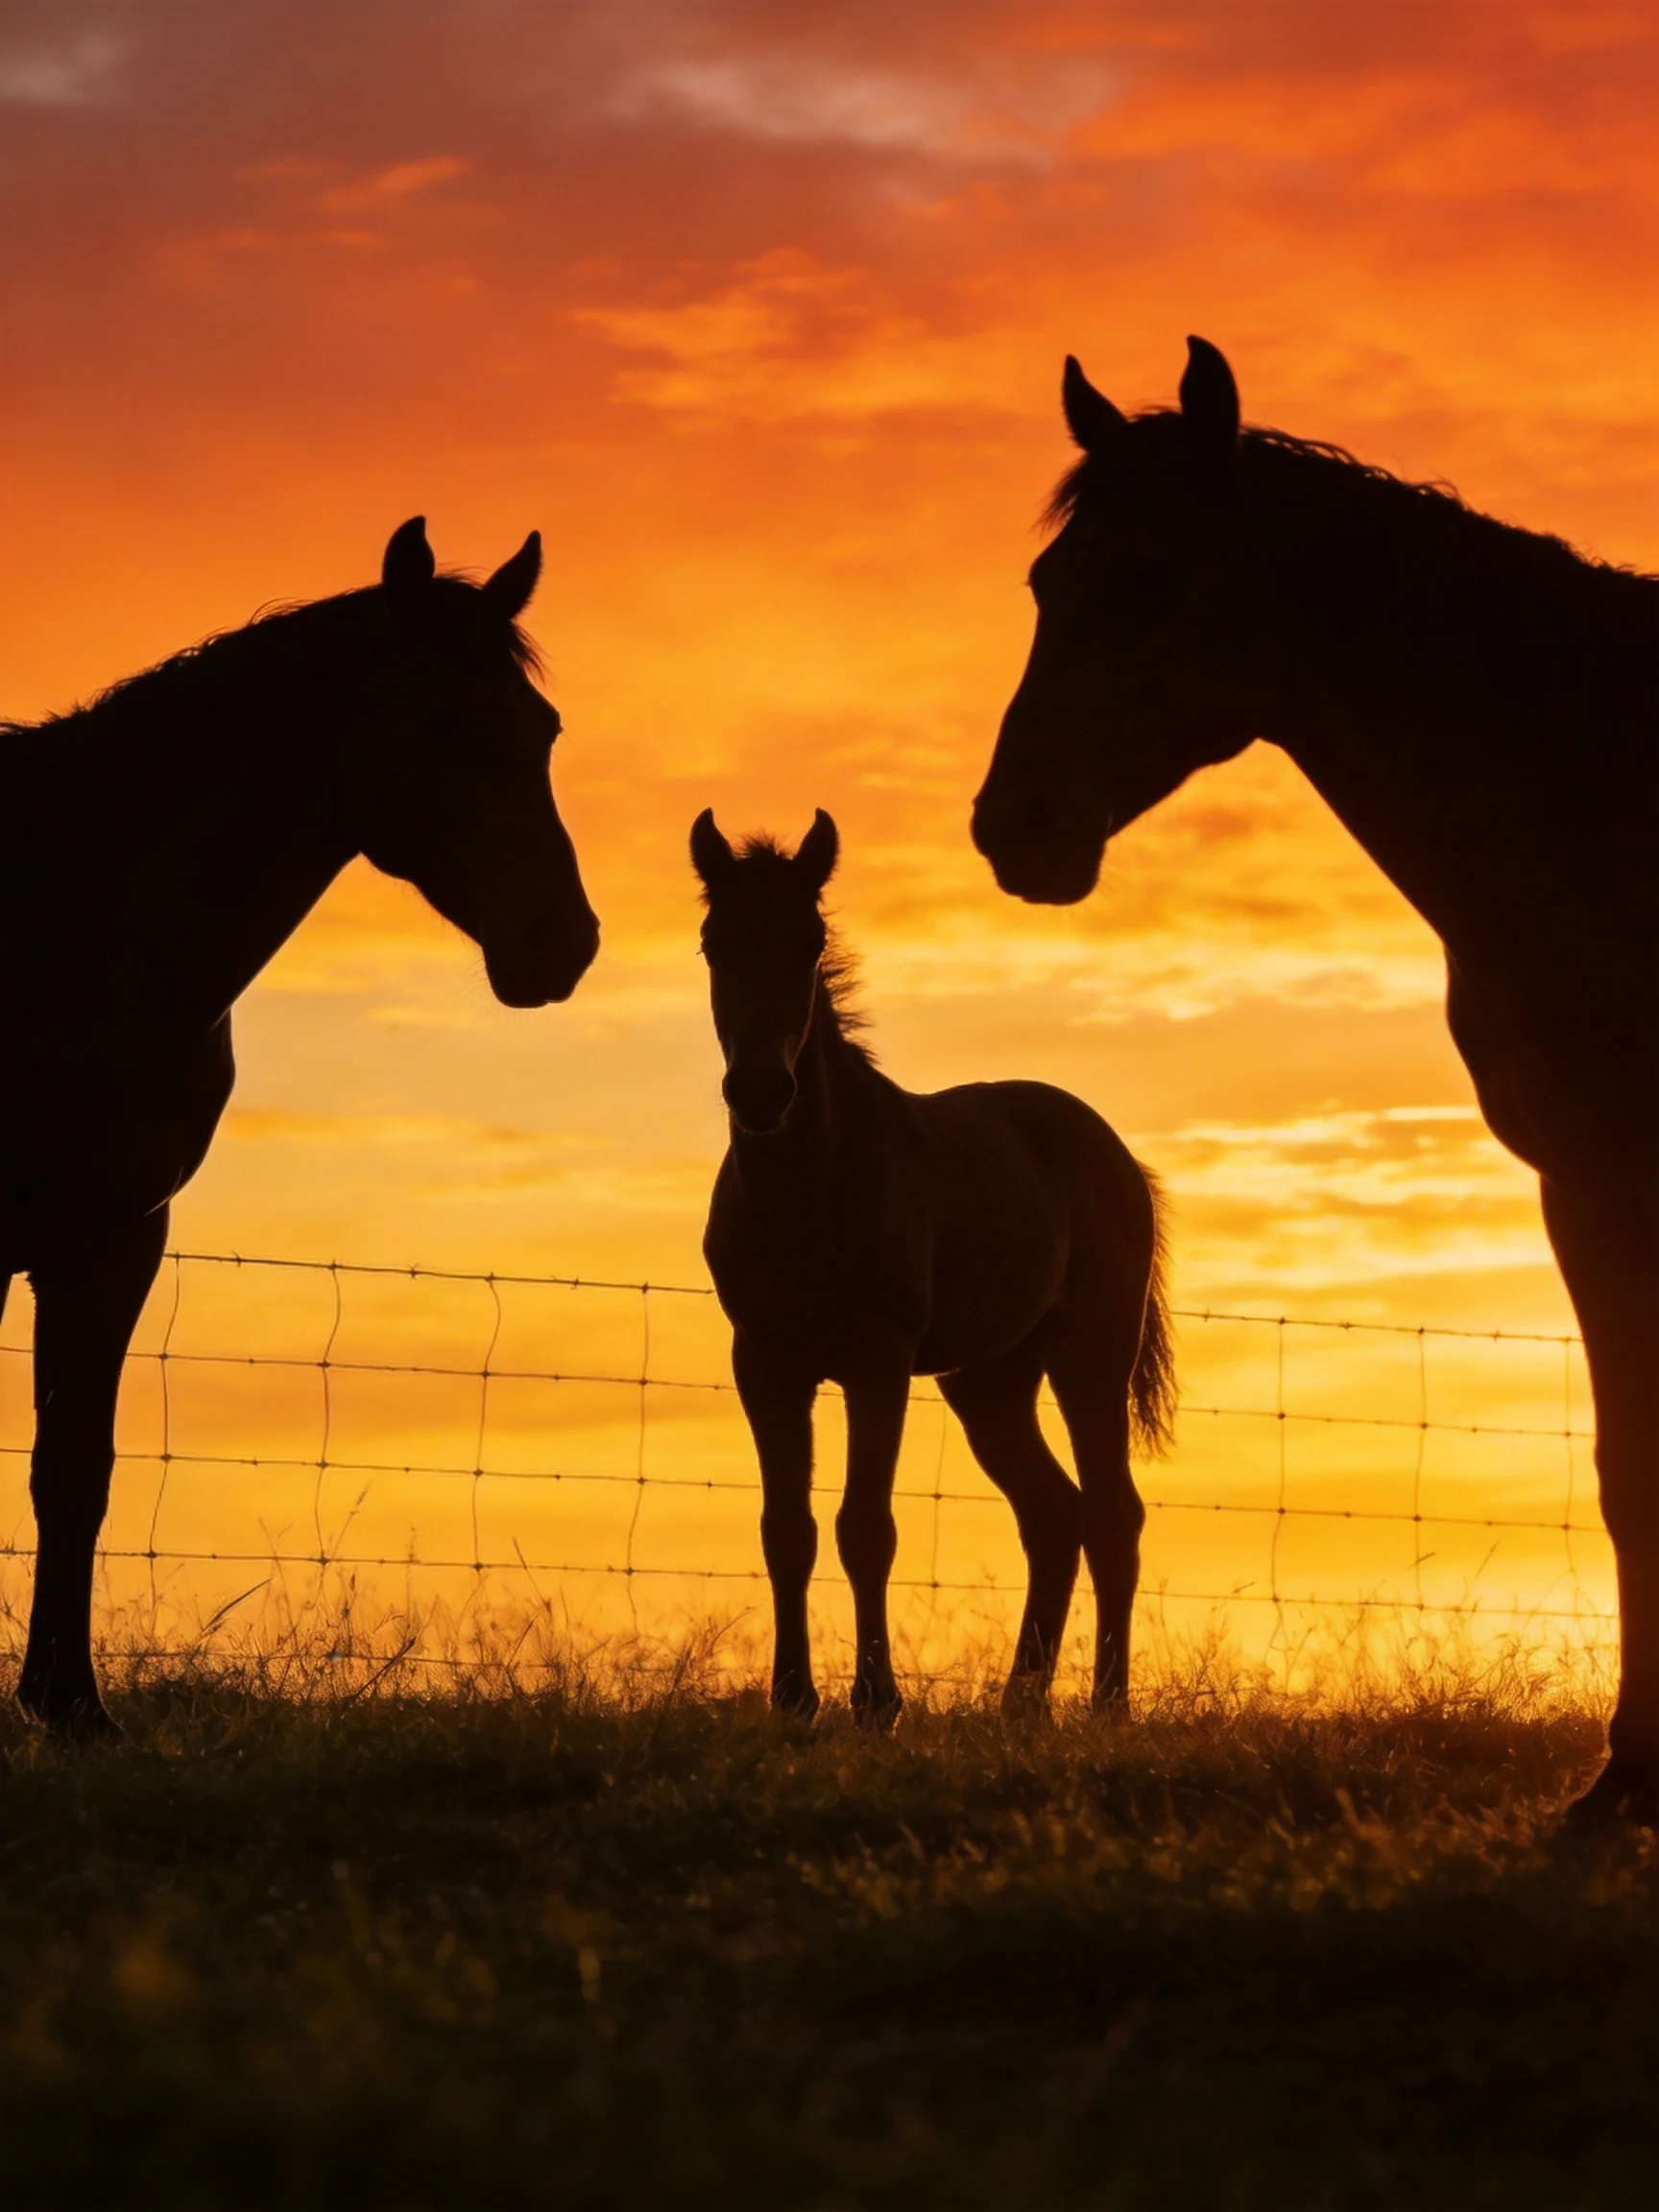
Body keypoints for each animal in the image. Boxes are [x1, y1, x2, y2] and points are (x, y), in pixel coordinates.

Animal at [1, 517, 600, 1736]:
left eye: (545, 728)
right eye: (440, 720)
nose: (560, 943)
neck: (77, 913)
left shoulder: (115, 1238)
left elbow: (74, 1470)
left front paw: (72, 1706)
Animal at [692, 808, 1174, 1723]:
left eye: (809, 941)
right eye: (713, 941)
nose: (762, 1093)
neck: (810, 1186)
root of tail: (1114, 1154)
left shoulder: (875, 1364)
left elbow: (865, 1528)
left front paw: (876, 1702)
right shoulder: (763, 1363)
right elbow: (787, 1530)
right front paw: (792, 1699)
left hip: (1089, 1355)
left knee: (1113, 1516)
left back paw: (1107, 1706)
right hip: (988, 1379)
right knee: (1054, 1515)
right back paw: (1019, 1705)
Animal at [972, 336, 1659, 1822]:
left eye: (1158, 573)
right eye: (1049, 581)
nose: (1014, 825)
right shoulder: (1580, 1186)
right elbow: (1623, 1467)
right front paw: (1621, 1782)